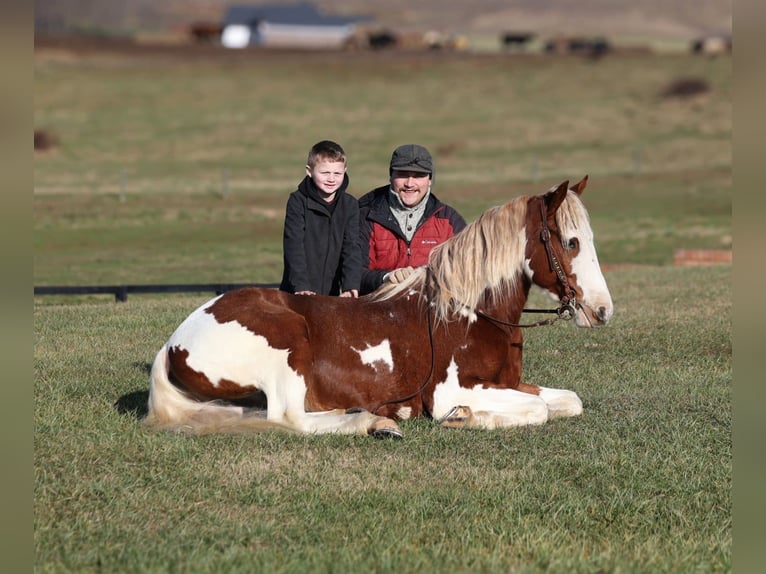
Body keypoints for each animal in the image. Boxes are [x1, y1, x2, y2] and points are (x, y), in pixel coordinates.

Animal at [145, 176, 613, 438]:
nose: (603, 310)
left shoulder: (509, 384)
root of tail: (173, 342)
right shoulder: (452, 390)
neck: (472, 314)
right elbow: (538, 410)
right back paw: (373, 421)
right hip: (287, 347)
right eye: (571, 241)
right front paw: (464, 418)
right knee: (290, 418)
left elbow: (568, 401)